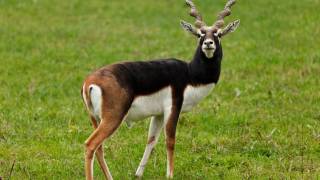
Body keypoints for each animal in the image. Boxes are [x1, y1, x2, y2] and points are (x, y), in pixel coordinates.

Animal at [81, 0, 239, 179]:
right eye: (200, 34)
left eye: (218, 34)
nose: (208, 44)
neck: (190, 74)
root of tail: (90, 82)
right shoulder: (173, 107)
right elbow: (170, 140)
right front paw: (169, 175)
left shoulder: (158, 114)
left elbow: (151, 140)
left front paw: (138, 174)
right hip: (112, 118)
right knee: (90, 144)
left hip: (95, 119)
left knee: (99, 147)